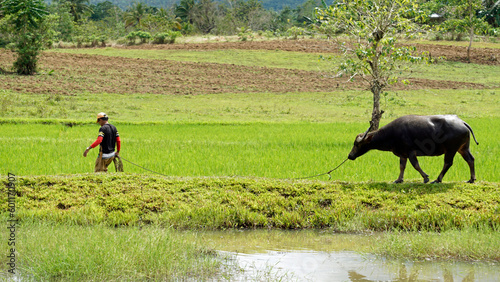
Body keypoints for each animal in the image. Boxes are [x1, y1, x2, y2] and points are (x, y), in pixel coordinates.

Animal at [350, 114, 478, 183]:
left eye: (357, 144)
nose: (350, 156)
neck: (392, 133)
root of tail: (462, 122)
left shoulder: (411, 152)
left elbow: (415, 165)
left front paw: (426, 178)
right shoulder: (403, 154)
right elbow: (402, 166)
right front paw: (399, 180)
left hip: (451, 149)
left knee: (448, 163)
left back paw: (437, 179)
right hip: (463, 148)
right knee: (470, 159)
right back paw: (471, 179)